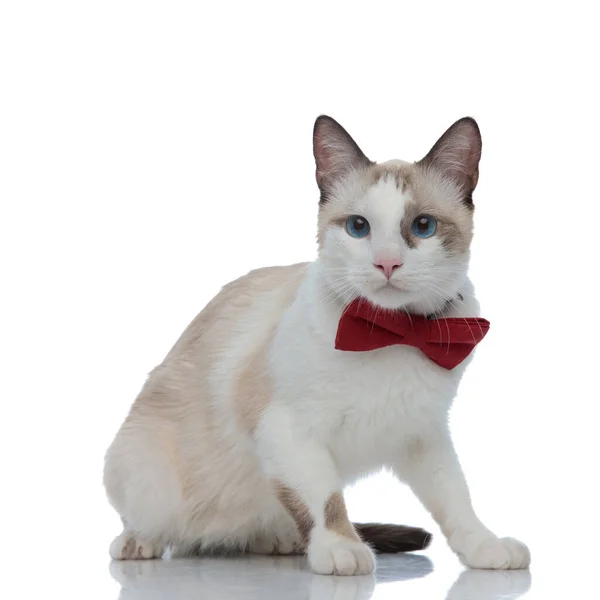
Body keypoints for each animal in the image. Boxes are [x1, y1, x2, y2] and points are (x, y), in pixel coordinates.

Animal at [104, 113, 528, 576]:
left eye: (423, 226)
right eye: (358, 227)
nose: (387, 262)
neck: (391, 330)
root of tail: (211, 540)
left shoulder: (423, 432)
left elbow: (455, 497)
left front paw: (484, 545)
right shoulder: (288, 430)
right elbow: (326, 500)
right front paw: (342, 547)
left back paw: (279, 542)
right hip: (144, 472)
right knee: (149, 519)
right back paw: (139, 542)